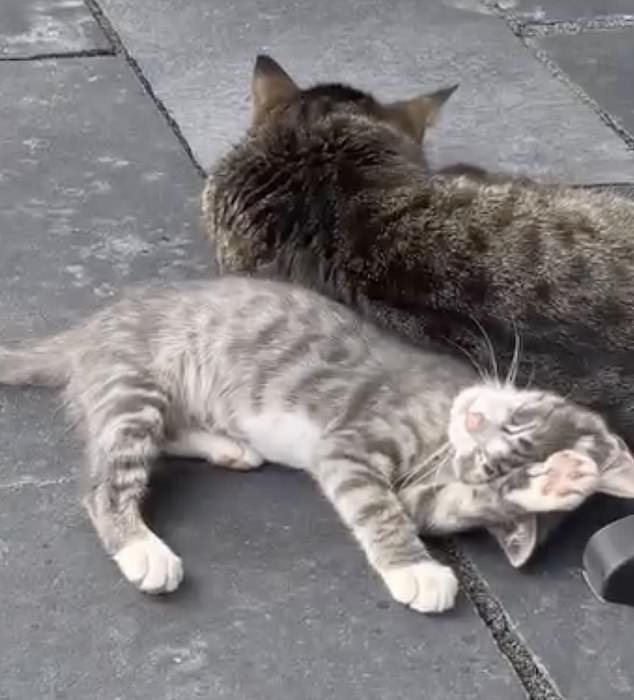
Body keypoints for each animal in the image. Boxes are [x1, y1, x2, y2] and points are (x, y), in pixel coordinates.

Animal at [2, 276, 628, 616]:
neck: (440, 418)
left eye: (485, 464)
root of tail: (87, 331)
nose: (472, 418)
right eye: (518, 419)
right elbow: (380, 509)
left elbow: (428, 508)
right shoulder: (349, 445)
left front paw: (554, 484)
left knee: (167, 436)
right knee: (106, 483)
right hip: (133, 387)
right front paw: (415, 569)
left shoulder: (423, 486)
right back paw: (141, 548)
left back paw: (229, 447)